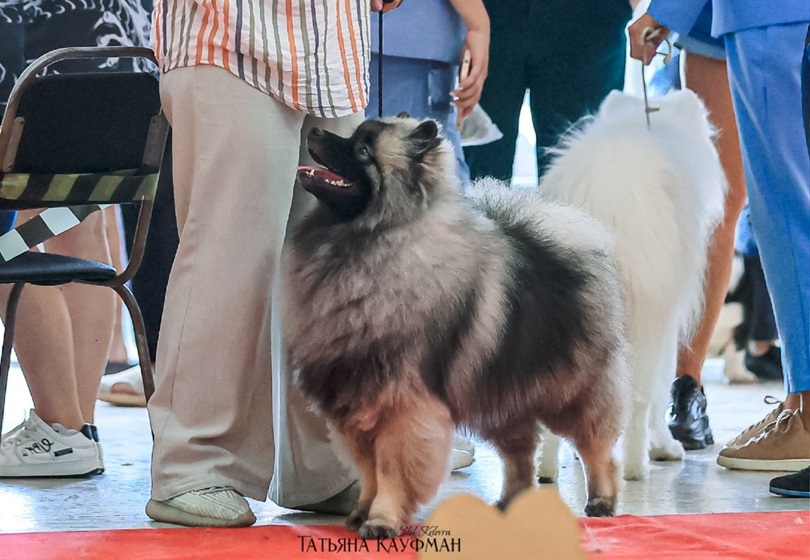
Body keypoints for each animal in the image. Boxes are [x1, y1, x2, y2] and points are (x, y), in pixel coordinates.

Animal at [536, 89, 724, 480]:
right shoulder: (667, 318)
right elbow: (659, 388)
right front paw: (664, 447)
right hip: (641, 317)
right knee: (639, 396)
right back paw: (637, 467)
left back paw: (548, 470)